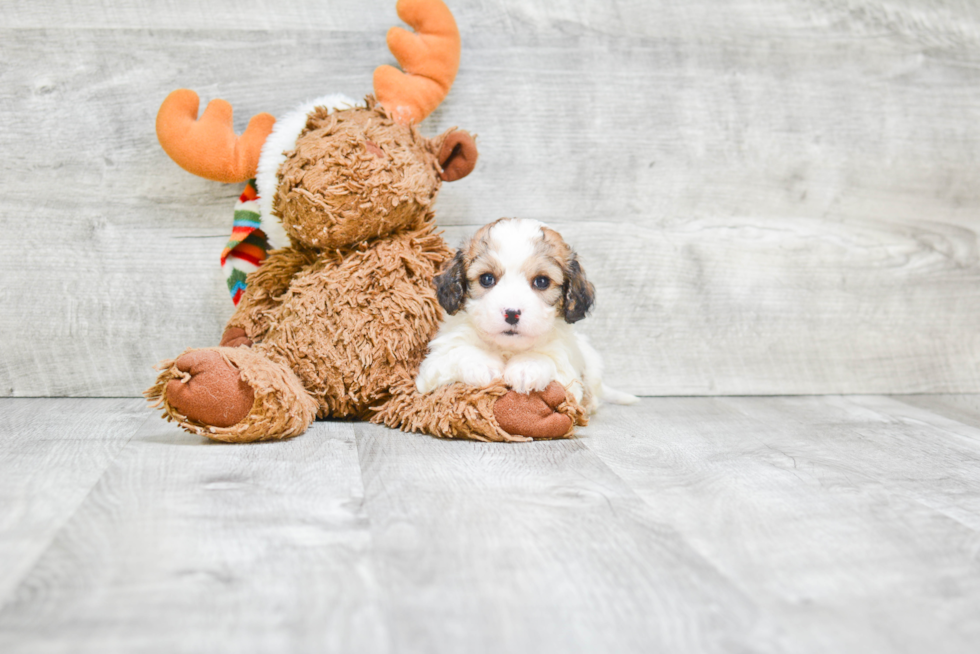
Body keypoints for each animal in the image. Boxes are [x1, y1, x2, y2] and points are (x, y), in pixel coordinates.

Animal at [418, 220, 640, 416]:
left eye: (542, 281)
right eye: (487, 279)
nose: (511, 312)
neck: (508, 348)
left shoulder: (568, 376)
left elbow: (548, 360)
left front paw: (527, 366)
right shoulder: (432, 366)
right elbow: (458, 352)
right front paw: (482, 364)